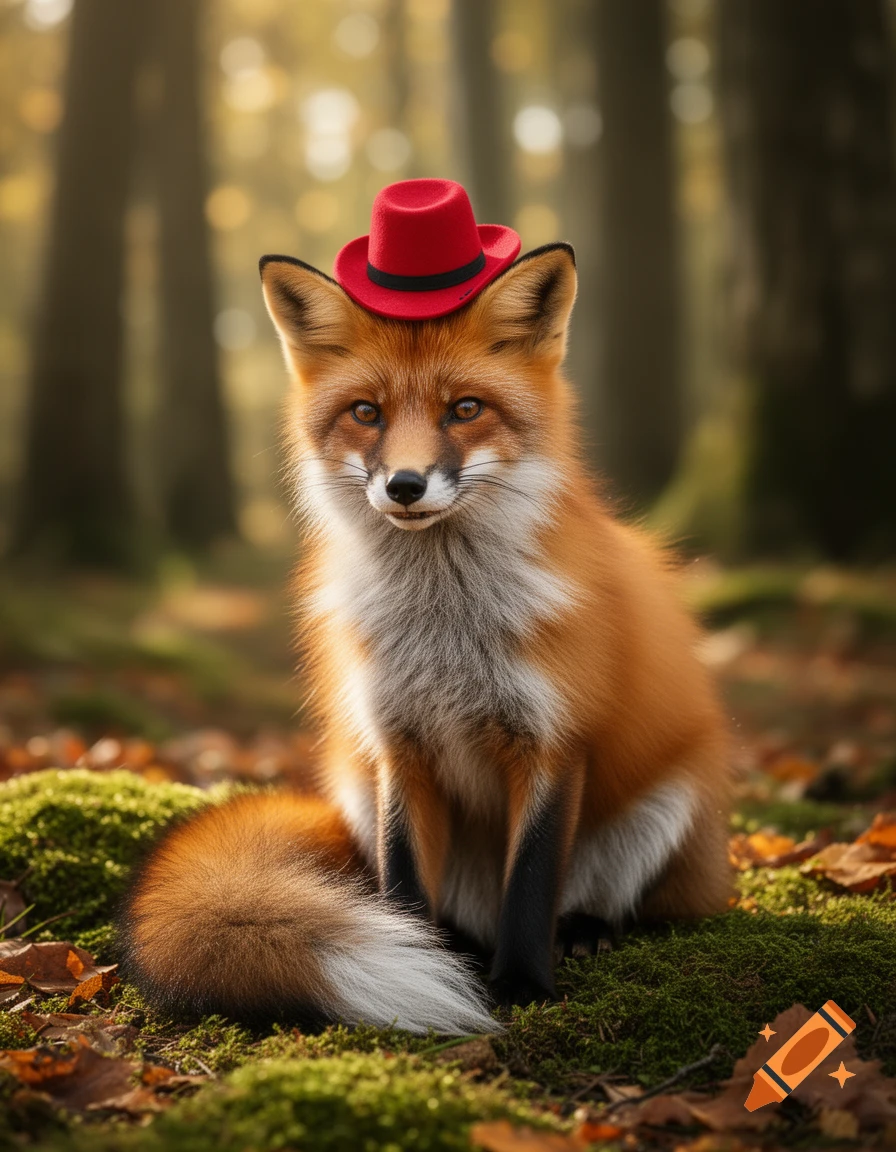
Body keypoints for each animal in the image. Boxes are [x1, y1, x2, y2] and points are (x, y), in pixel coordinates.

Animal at [119, 241, 733, 1034]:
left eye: (465, 409)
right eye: (366, 413)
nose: (405, 485)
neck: (445, 631)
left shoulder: (553, 742)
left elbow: (531, 882)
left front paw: (523, 985)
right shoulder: (397, 746)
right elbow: (404, 883)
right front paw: (424, 960)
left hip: (670, 800)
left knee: (612, 902)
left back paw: (583, 931)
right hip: (355, 786)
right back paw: (455, 951)